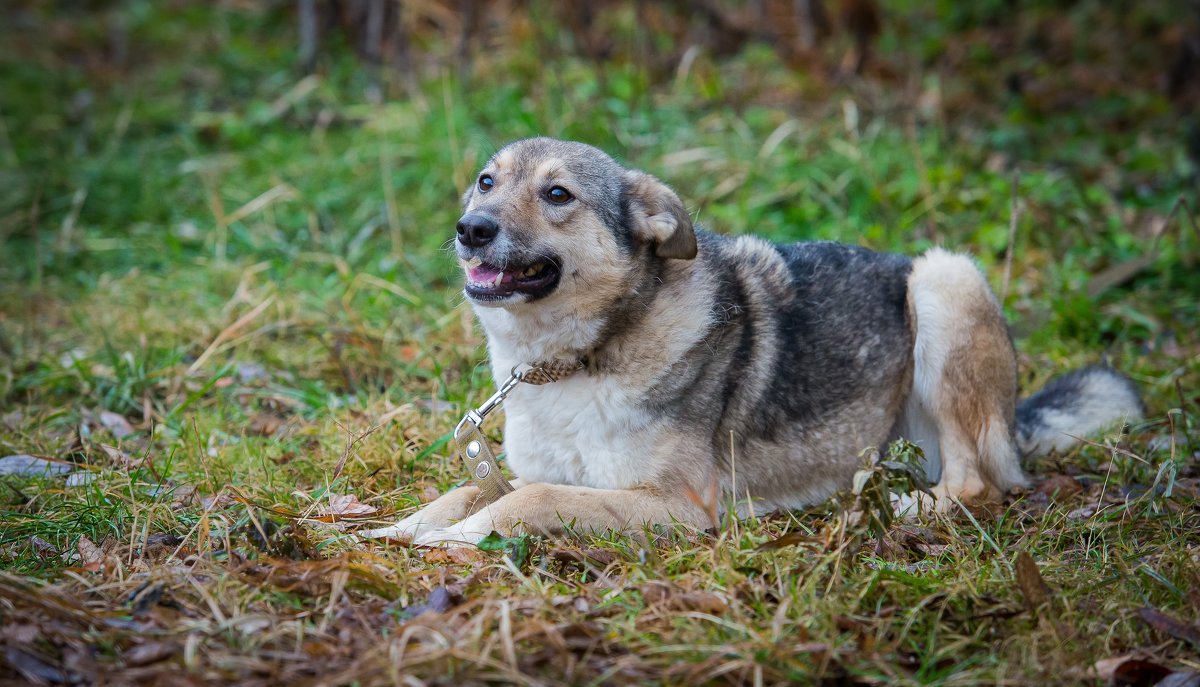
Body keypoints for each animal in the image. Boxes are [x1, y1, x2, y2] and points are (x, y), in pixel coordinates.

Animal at [364, 138, 1142, 547]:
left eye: (558, 195)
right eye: (485, 182)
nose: (470, 228)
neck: (581, 356)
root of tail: (1012, 423)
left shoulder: (680, 507)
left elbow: (524, 501)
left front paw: (450, 540)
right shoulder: (533, 468)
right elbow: (468, 490)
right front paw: (393, 530)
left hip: (945, 278)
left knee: (979, 485)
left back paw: (893, 504)